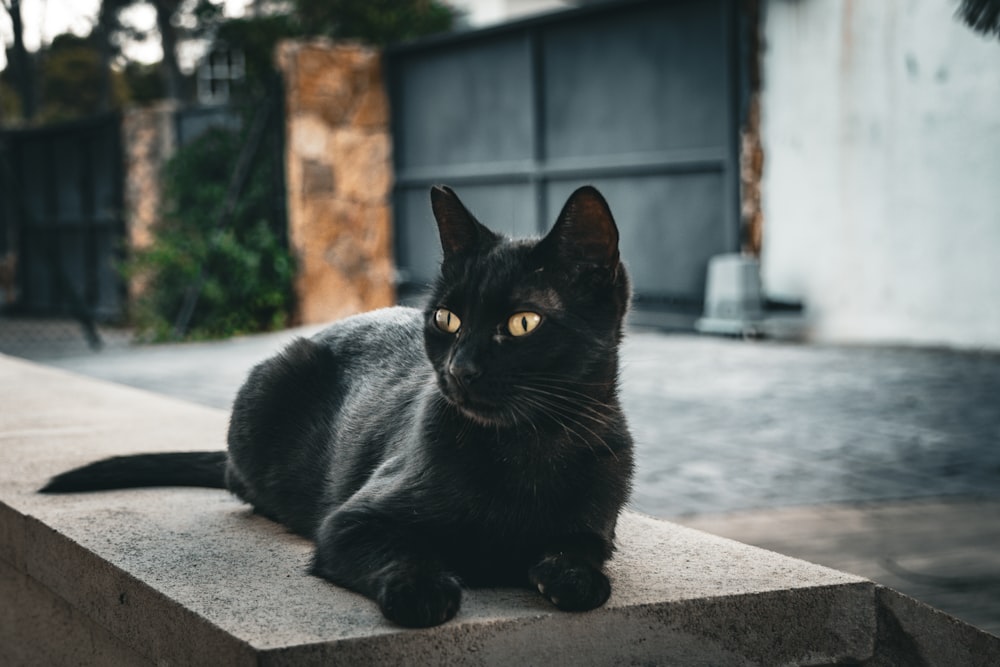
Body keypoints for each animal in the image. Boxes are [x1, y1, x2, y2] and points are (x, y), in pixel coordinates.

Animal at [43, 185, 632, 628]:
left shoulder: (594, 527)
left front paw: (568, 577)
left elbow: (579, 563)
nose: (459, 369)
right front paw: (423, 590)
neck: (524, 448)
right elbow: (401, 552)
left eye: (523, 323)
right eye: (447, 319)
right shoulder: (351, 522)